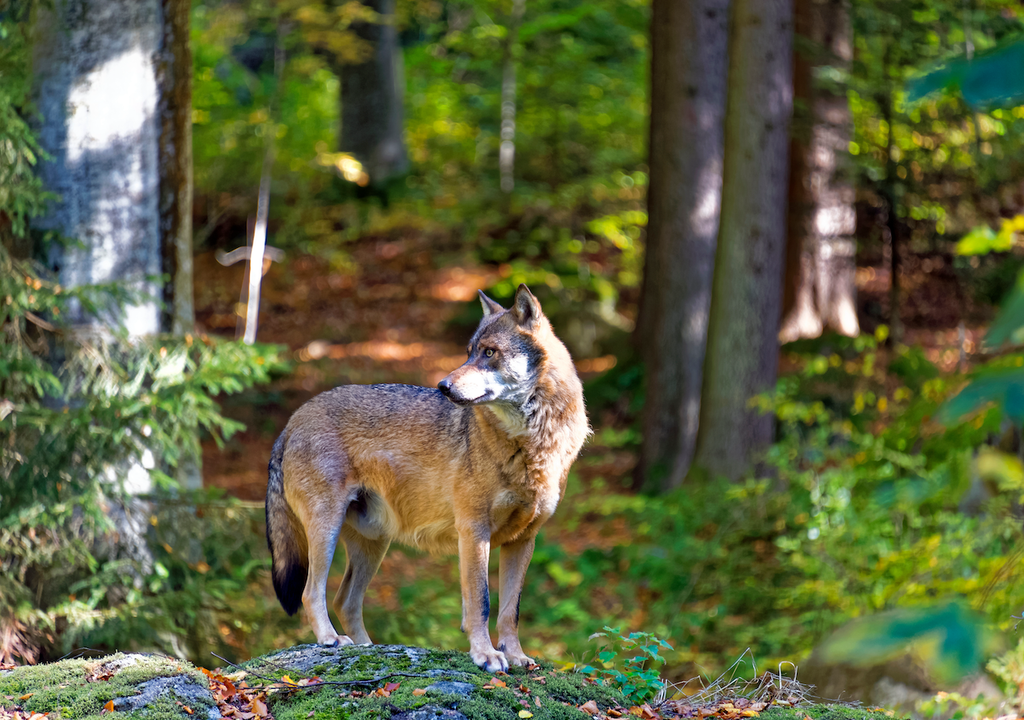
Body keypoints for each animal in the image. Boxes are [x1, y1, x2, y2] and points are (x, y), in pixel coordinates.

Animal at [265, 284, 589, 672]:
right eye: (469, 353)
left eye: (489, 352)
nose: (443, 386)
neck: (532, 441)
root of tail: (292, 421)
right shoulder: (473, 531)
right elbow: (480, 603)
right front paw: (486, 655)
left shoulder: (524, 540)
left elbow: (511, 611)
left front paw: (516, 656)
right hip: (326, 531)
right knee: (310, 592)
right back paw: (331, 640)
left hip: (373, 544)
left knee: (345, 599)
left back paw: (368, 648)